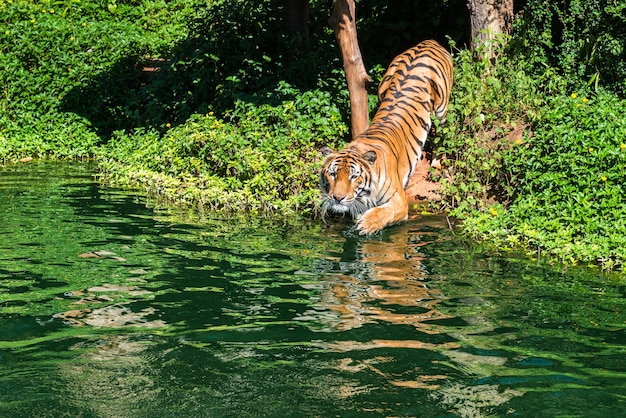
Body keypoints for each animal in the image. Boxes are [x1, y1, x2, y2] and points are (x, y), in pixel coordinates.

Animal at [320, 39, 450, 235]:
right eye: (333, 174)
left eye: (353, 176)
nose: (338, 198)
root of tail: (428, 41)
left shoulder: (400, 200)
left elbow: (387, 211)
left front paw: (368, 223)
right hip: (383, 86)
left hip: (442, 109)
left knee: (442, 135)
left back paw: (436, 163)